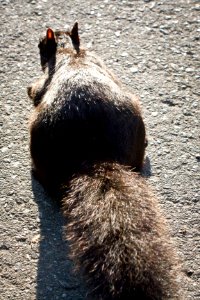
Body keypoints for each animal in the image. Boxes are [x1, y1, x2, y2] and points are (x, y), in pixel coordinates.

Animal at [27, 22, 183, 298]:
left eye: (41, 44)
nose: (39, 45)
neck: (72, 52)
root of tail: (95, 155)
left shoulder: (44, 80)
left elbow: (35, 89)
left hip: (38, 138)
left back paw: (36, 173)